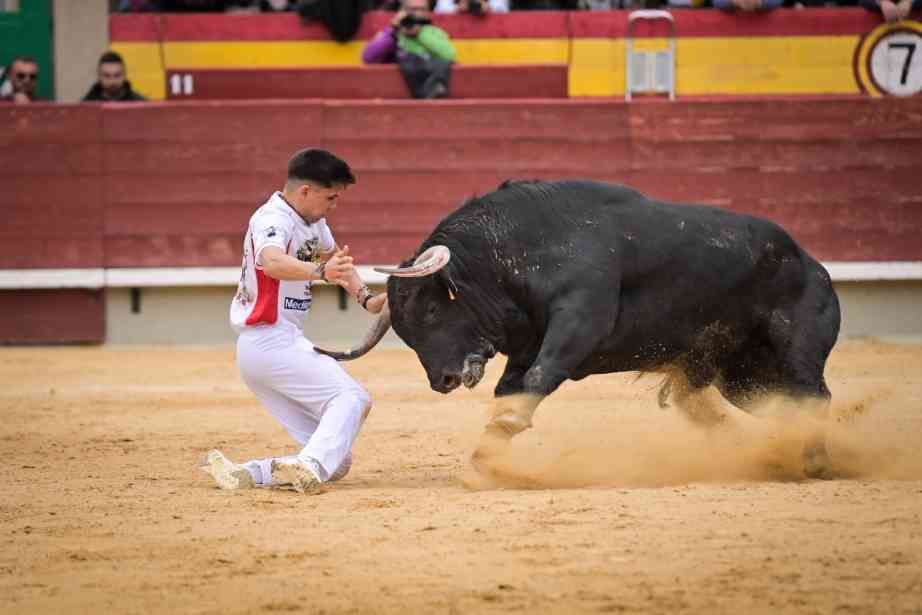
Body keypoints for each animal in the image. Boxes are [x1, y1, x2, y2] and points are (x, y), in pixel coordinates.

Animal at [318, 180, 840, 478]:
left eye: (429, 311)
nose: (441, 380)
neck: (517, 250)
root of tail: (811, 262)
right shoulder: (525, 344)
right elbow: (511, 390)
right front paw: (485, 461)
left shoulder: (580, 321)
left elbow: (537, 378)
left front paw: (499, 440)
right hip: (743, 377)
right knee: (782, 406)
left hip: (794, 349)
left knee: (814, 395)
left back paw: (815, 461)